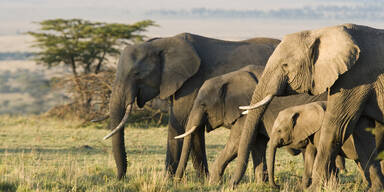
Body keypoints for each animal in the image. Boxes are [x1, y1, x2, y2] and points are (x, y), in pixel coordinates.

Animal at [100, 32, 280, 178]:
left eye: (136, 74)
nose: (121, 178)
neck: (161, 43)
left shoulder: (191, 82)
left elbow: (181, 123)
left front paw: (168, 181)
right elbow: (192, 128)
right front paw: (203, 180)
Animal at [172, 63, 328, 182]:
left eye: (203, 105)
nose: (176, 182)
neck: (228, 77)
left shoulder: (246, 111)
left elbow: (236, 143)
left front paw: (213, 183)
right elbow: (257, 144)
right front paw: (261, 184)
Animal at [231, 23, 384, 189]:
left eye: (285, 65)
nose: (232, 184)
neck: (323, 32)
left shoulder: (355, 78)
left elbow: (337, 127)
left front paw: (314, 188)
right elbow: (362, 134)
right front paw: (375, 188)